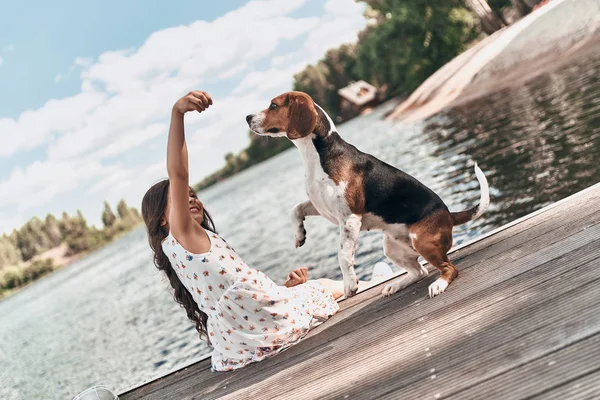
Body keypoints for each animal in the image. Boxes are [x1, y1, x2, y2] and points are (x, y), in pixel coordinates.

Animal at [246, 90, 490, 296]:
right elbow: (295, 209)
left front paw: (350, 284)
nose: (247, 117)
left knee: (449, 268)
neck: (317, 153)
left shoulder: (349, 219)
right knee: (420, 271)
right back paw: (396, 285)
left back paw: (438, 284)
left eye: (273, 105)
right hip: (392, 248)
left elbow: (343, 255)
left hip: (422, 241)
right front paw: (299, 235)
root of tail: (448, 214)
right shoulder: (320, 204)